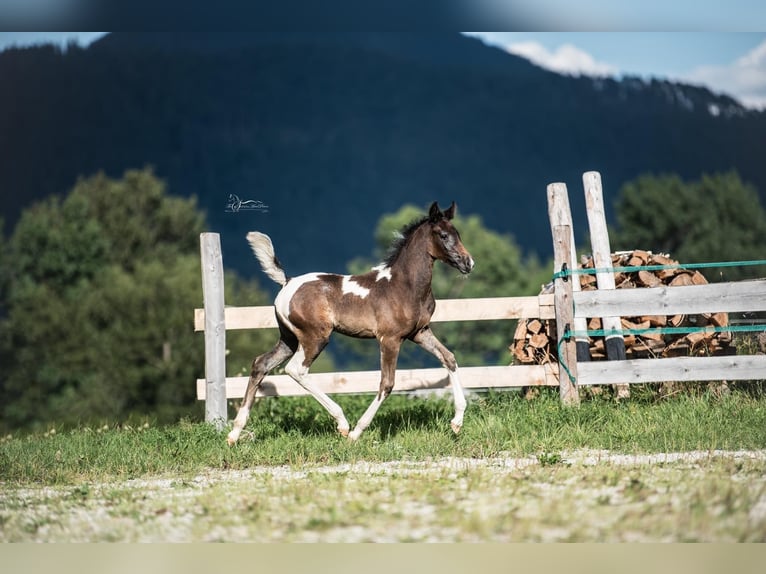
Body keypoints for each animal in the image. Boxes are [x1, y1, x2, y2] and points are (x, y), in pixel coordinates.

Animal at [226, 200, 474, 448]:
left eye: (458, 234)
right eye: (443, 235)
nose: (468, 263)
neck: (404, 286)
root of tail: (287, 282)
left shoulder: (420, 332)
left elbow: (449, 358)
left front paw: (457, 422)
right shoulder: (390, 339)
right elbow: (387, 384)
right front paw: (357, 432)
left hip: (289, 339)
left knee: (261, 364)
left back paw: (234, 433)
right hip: (314, 338)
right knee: (295, 369)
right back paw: (343, 424)